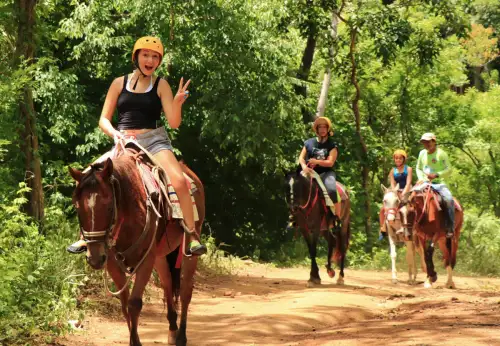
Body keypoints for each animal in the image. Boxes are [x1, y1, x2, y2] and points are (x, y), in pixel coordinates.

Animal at [69, 151, 204, 346]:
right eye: (78, 207)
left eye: (109, 207)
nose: (95, 258)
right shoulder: (112, 262)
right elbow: (125, 304)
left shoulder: (145, 259)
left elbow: (134, 304)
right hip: (160, 254)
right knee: (167, 283)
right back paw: (172, 330)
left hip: (188, 247)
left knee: (186, 288)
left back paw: (181, 337)